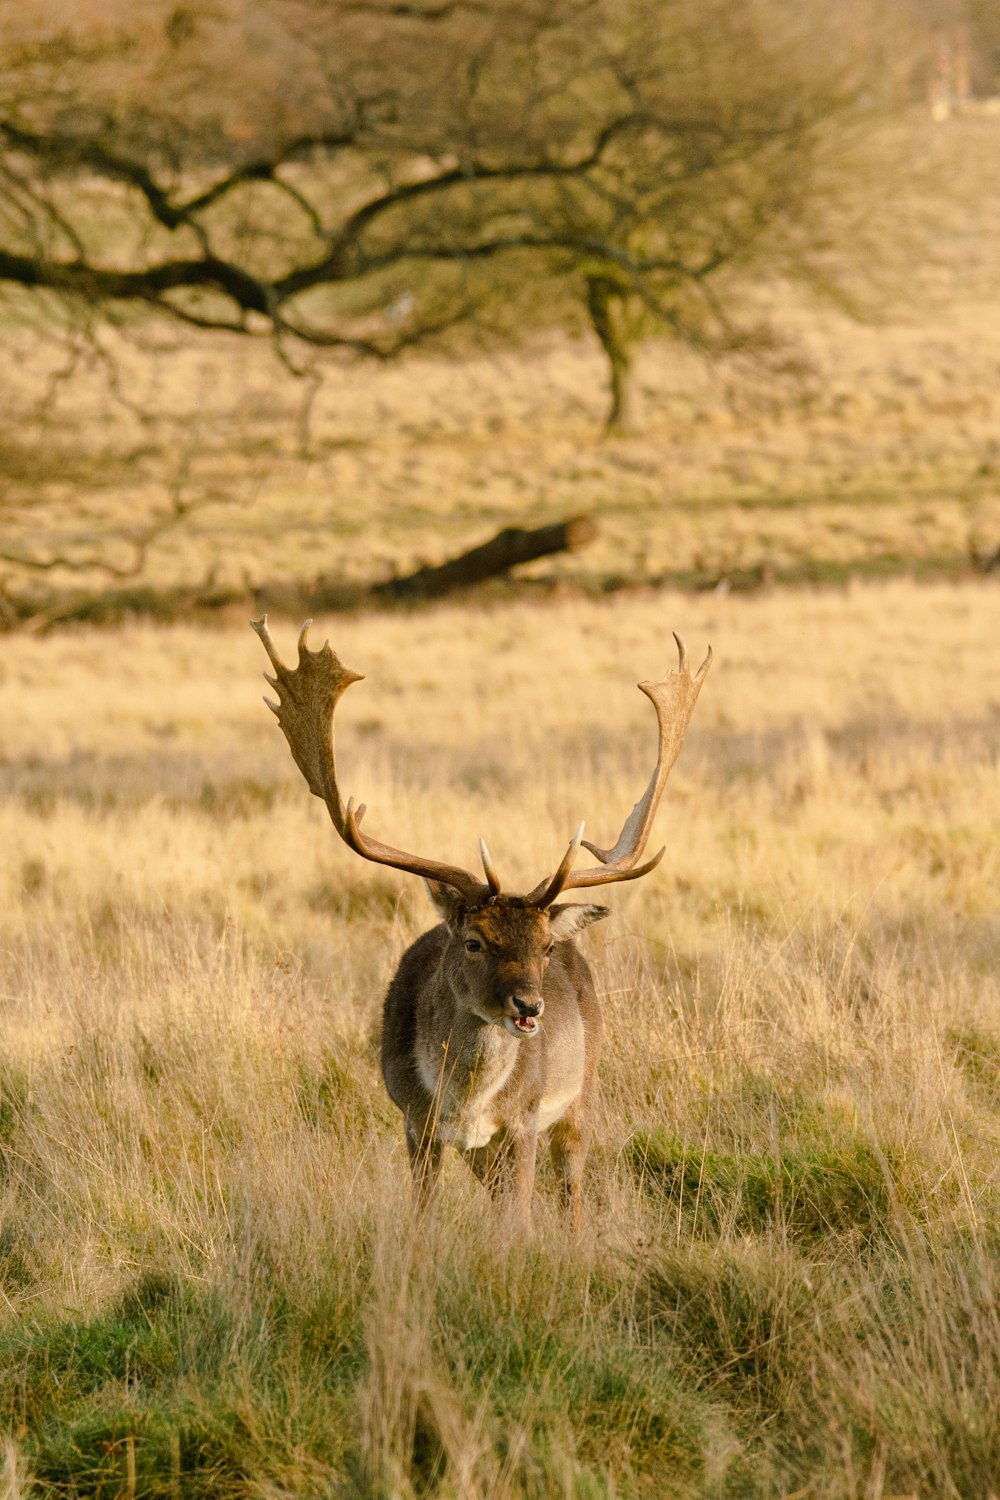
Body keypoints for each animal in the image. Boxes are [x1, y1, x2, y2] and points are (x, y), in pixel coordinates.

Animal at [254, 615, 716, 1224]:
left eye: (544, 946)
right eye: (474, 941)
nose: (529, 1006)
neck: (464, 1102)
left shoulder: (523, 1121)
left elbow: (520, 1220)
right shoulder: (414, 1121)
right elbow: (423, 1215)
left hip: (583, 1092)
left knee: (571, 1193)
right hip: (484, 1149)